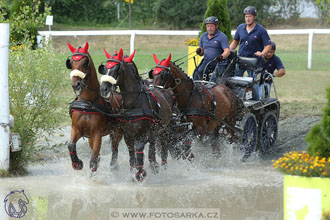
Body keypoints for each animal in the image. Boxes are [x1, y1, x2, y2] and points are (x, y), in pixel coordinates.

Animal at [65, 41, 124, 172]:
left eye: (84, 62)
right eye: (71, 63)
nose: (76, 84)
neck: (88, 103)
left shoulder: (97, 134)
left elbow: (93, 161)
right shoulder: (77, 129)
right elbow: (71, 145)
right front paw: (77, 163)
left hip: (117, 132)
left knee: (115, 148)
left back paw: (114, 166)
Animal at [98, 48, 173, 180]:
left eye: (117, 69)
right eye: (105, 68)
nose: (104, 89)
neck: (133, 102)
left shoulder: (144, 134)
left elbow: (138, 148)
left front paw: (139, 172)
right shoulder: (128, 135)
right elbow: (132, 154)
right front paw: (132, 171)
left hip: (164, 129)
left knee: (163, 146)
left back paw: (162, 166)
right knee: (152, 147)